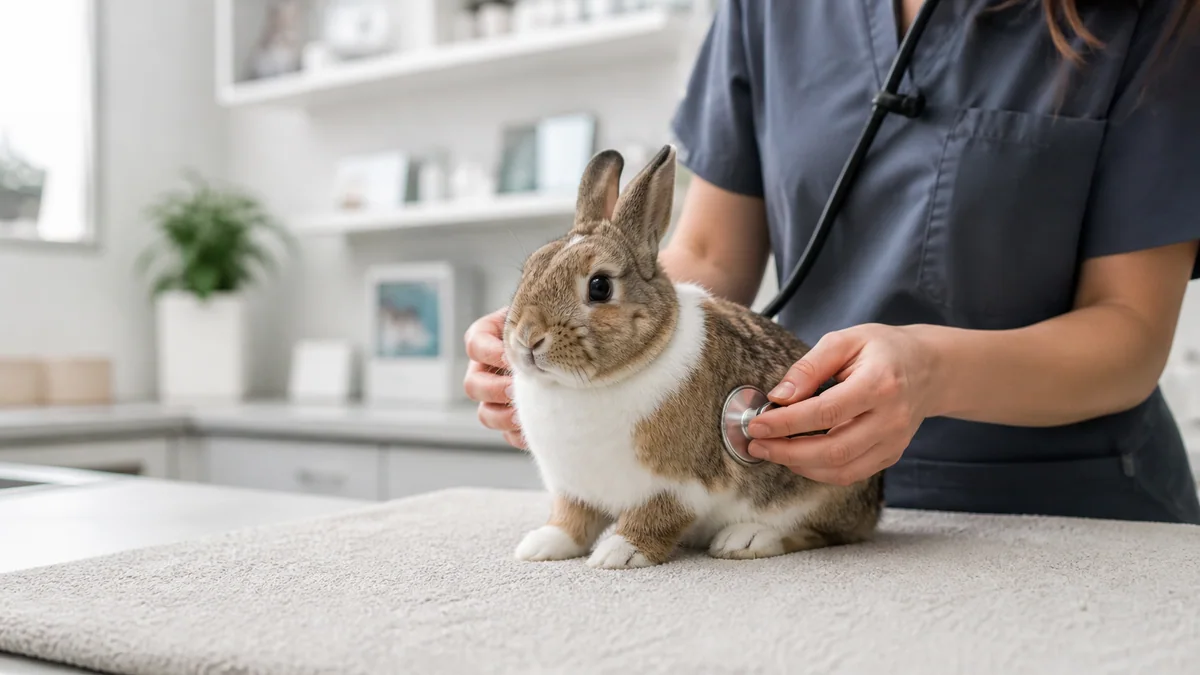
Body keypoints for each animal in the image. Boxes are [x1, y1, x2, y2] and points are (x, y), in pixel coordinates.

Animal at [504, 144, 884, 569]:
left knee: (823, 533)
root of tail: (873, 504)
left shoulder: (678, 486)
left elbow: (655, 517)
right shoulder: (573, 488)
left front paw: (620, 552)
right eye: (530, 269)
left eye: (599, 287)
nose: (527, 338)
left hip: (820, 483)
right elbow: (573, 519)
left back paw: (746, 538)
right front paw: (542, 545)